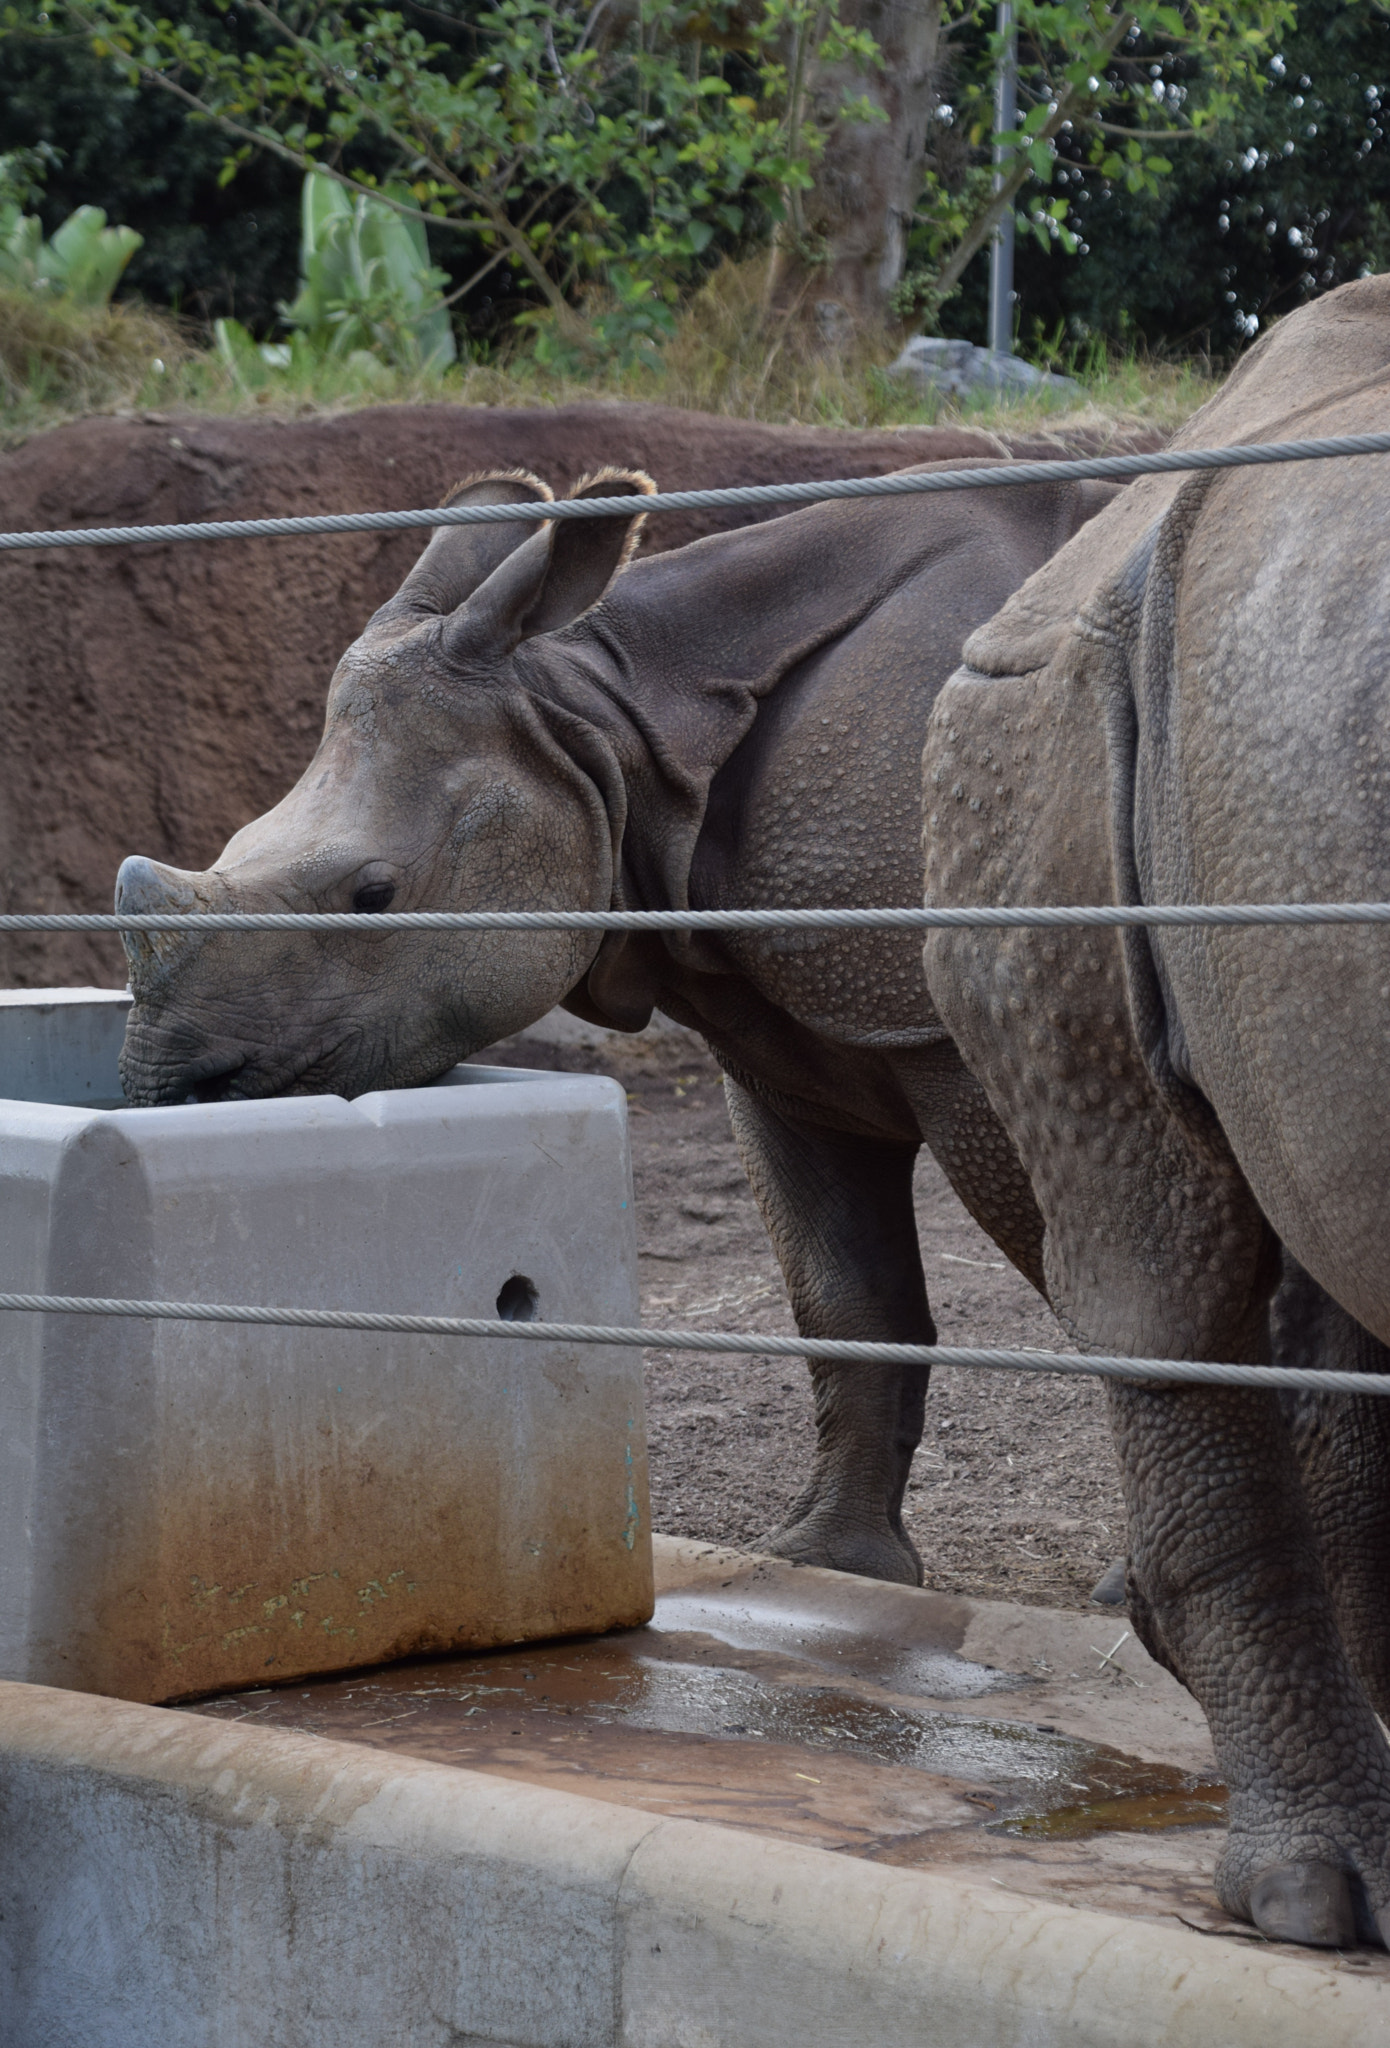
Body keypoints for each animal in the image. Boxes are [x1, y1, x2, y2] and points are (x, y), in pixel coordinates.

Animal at [116, 459, 1114, 1587]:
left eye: (373, 894)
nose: (168, 1084)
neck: (612, 720)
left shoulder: (973, 1041)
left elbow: (1098, 1291)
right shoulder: (786, 1044)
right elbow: (847, 1300)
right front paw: (830, 1566)